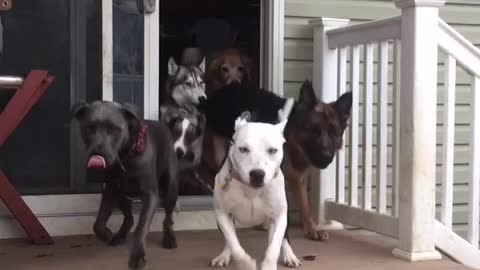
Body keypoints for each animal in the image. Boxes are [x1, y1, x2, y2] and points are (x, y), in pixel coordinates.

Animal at [70, 100, 177, 270]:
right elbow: (98, 222)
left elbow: (141, 226)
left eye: (115, 129)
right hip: (122, 195)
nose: (98, 154)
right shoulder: (110, 189)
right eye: (89, 128)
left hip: (170, 188)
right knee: (129, 218)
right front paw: (106, 234)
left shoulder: (150, 194)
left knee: (168, 217)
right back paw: (119, 235)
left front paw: (137, 256)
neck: (124, 155)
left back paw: (169, 238)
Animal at [210, 99, 300, 270]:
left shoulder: (278, 216)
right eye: (243, 149)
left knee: (284, 238)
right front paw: (246, 263)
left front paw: (269, 265)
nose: (257, 174)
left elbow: (274, 246)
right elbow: (234, 244)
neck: (251, 190)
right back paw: (224, 255)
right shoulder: (223, 214)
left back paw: (290, 255)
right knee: (229, 241)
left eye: (272, 150)